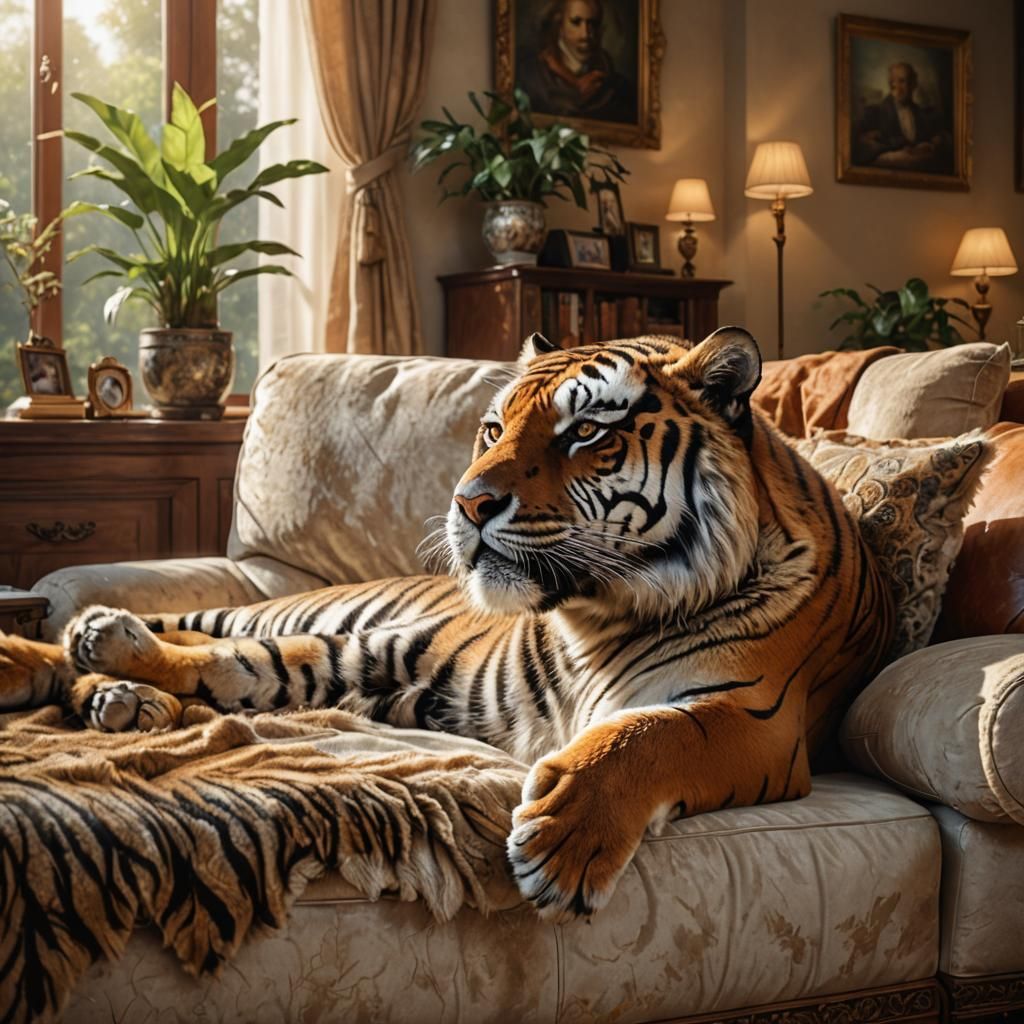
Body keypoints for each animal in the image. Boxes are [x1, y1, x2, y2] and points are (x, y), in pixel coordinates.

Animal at [0, 327, 895, 919]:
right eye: (494, 428)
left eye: (586, 431)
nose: (468, 502)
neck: (597, 617)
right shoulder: (407, 662)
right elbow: (254, 663)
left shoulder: (759, 718)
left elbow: (649, 734)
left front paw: (560, 842)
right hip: (312, 623)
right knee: (203, 641)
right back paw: (93, 649)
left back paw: (121, 695)